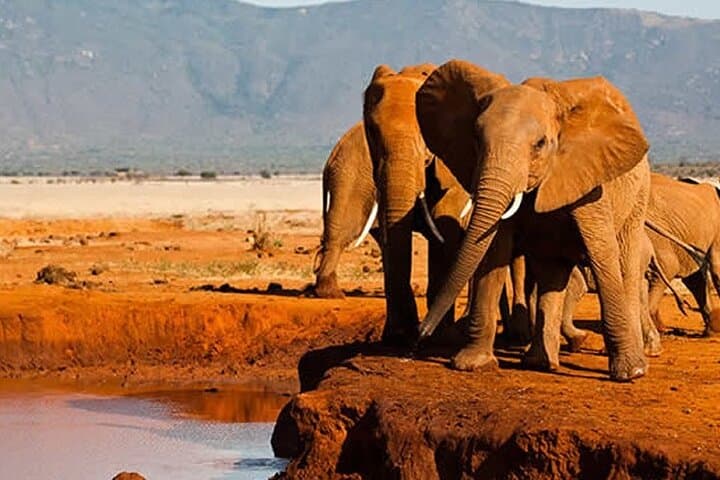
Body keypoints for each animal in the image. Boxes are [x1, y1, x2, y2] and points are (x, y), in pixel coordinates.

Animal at [363, 63, 472, 345]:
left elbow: (445, 226)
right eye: (372, 132)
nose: (414, 334)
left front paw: (440, 337)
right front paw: (395, 335)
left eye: (425, 136)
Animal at [416, 60, 651, 381]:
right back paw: (539, 363)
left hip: (637, 196)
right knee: (553, 272)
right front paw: (472, 364)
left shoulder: (591, 182)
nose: (420, 334)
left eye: (540, 144)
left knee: (625, 265)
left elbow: (601, 251)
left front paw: (629, 374)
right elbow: (493, 251)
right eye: (476, 139)